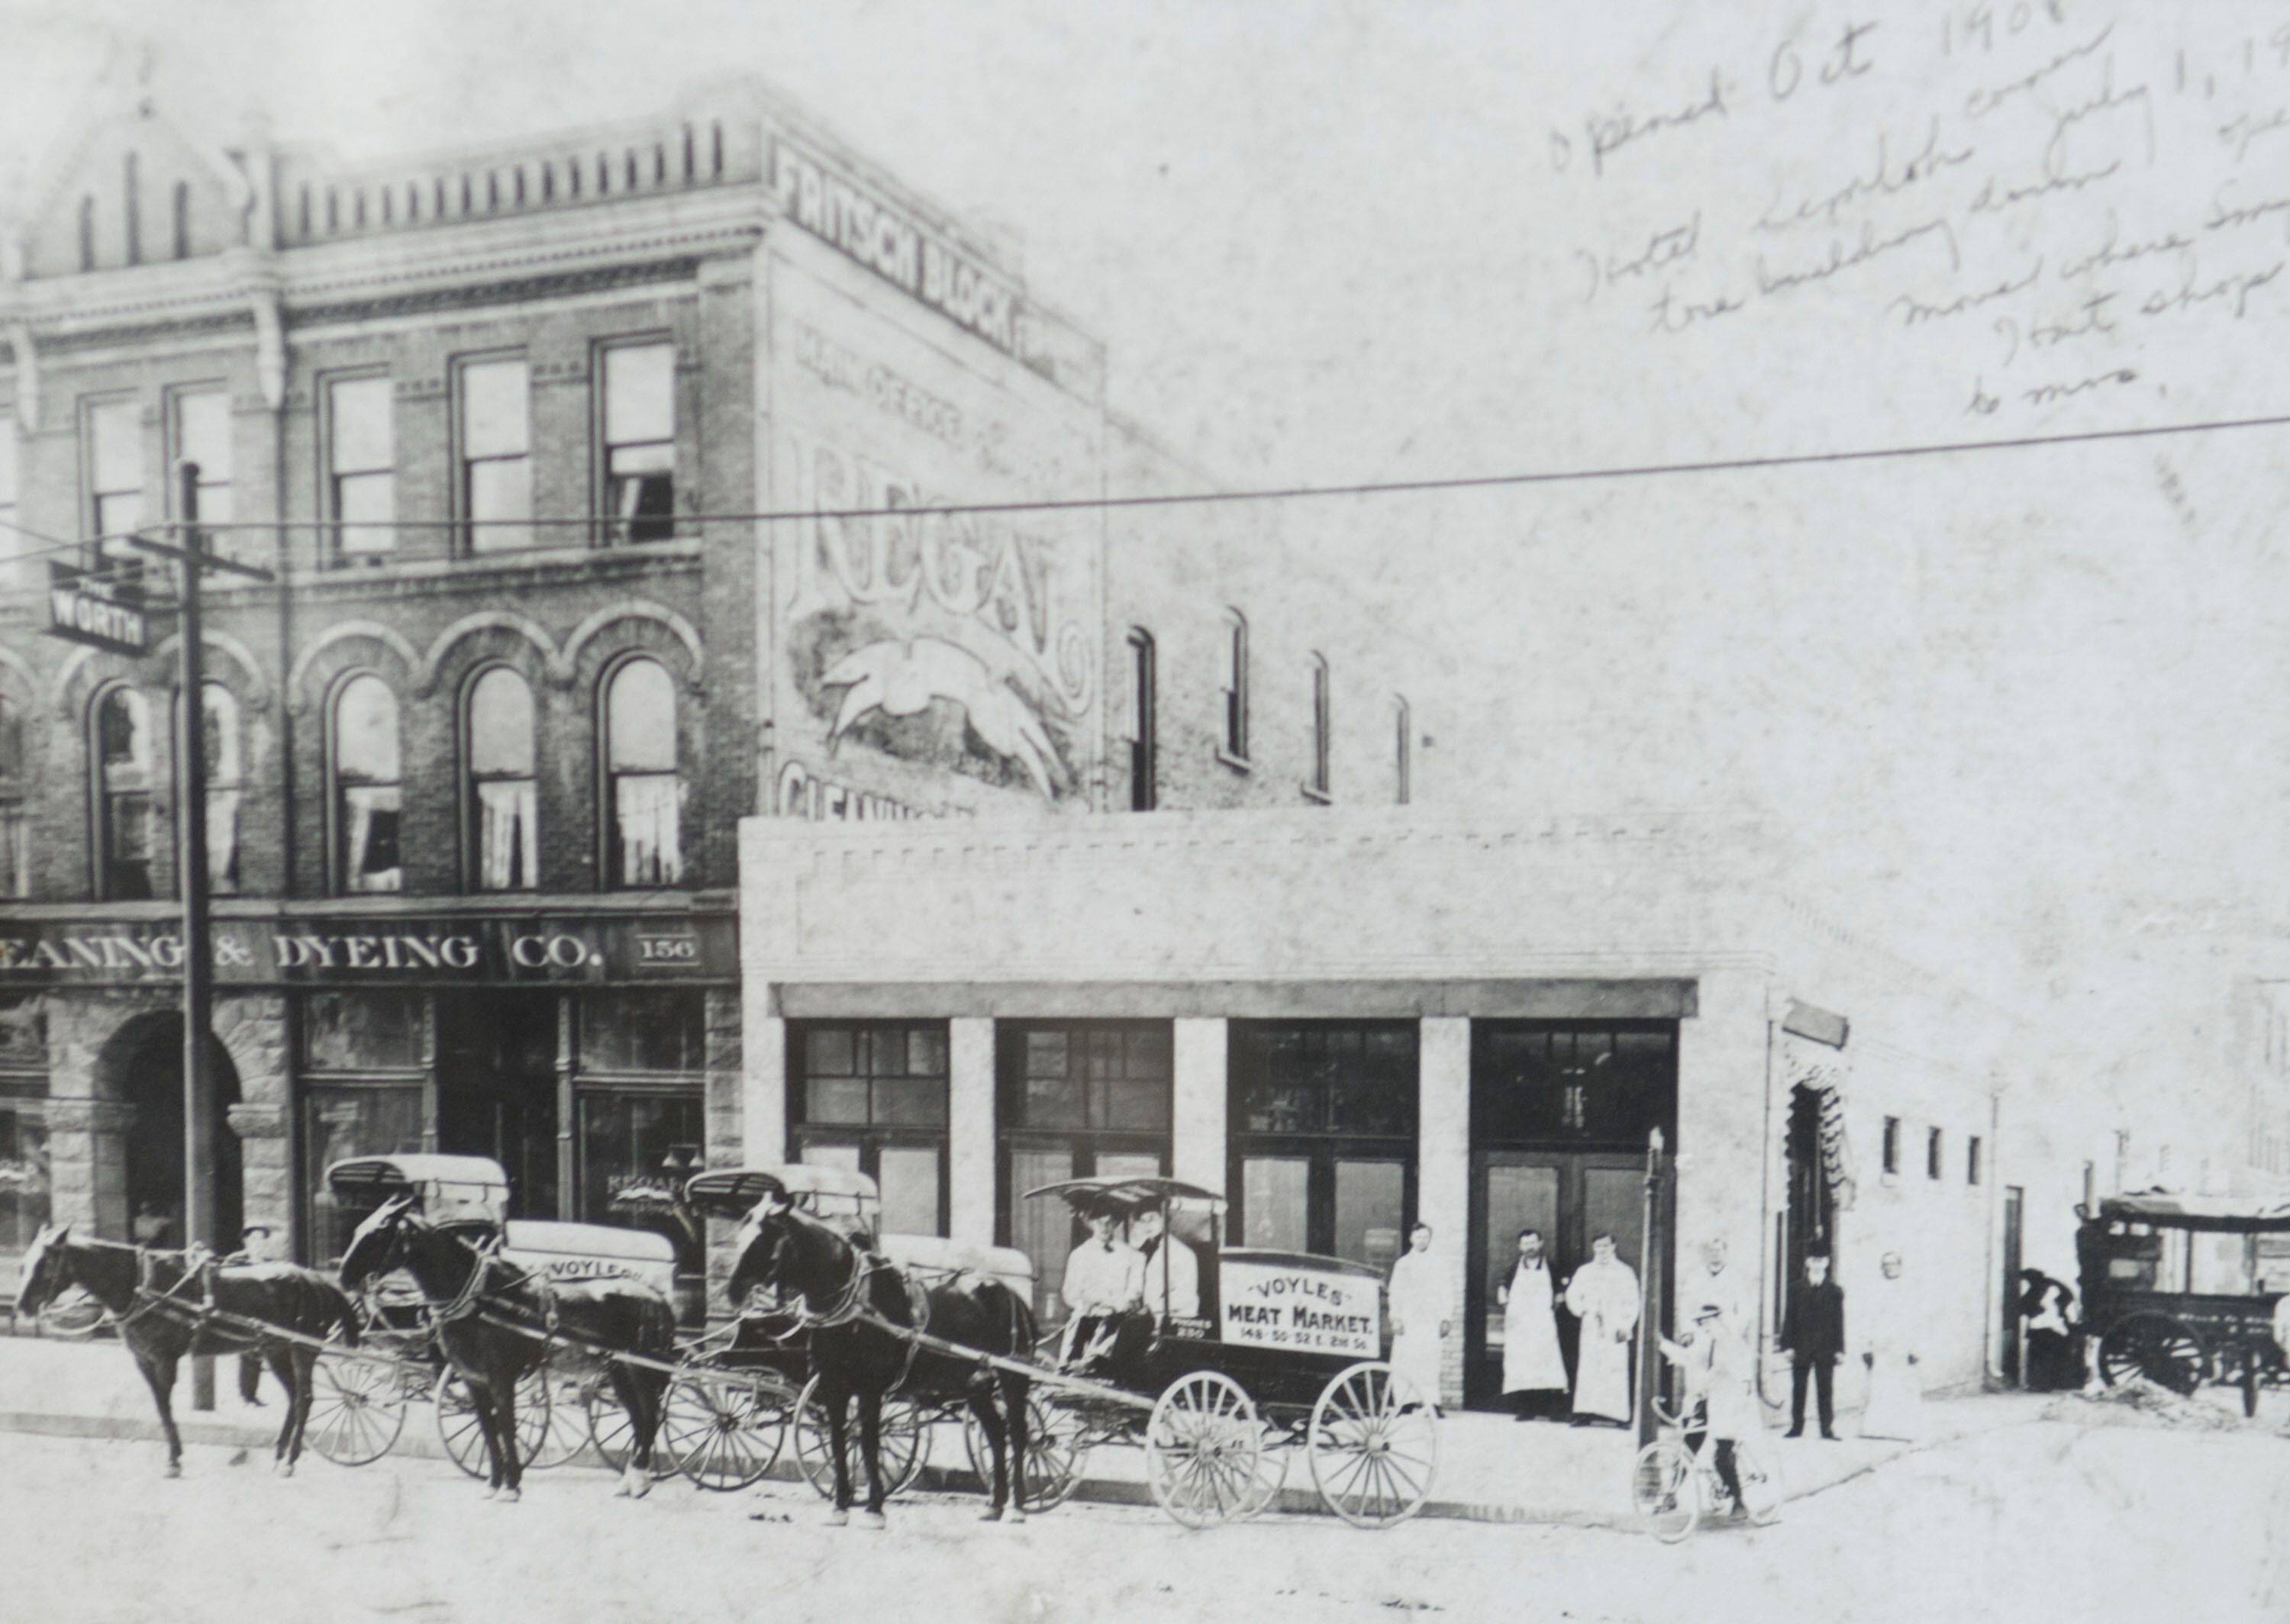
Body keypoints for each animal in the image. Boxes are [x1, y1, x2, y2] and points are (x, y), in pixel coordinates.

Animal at [12, 1218, 362, 1474]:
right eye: (24, 1263)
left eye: (45, 1263)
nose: (21, 1307)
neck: (140, 1285)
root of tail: (317, 1279)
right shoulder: (143, 1359)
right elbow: (159, 1406)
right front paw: (175, 1455)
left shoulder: (165, 1358)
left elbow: (166, 1406)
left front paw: (173, 1460)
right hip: (275, 1350)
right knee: (293, 1397)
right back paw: (280, 1454)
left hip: (302, 1350)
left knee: (304, 1398)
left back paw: (290, 1459)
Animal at [334, 1181, 669, 1502]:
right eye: (360, 1227)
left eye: (380, 1232)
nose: (342, 1277)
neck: (480, 1299)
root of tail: (655, 1295)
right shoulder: (474, 1380)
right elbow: (488, 1429)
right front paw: (494, 1483)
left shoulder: (501, 1378)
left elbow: (507, 1427)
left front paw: (511, 1486)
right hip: (618, 1370)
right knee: (639, 1418)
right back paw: (630, 1480)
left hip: (640, 1369)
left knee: (651, 1415)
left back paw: (640, 1477)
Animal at [724, 1191, 1040, 1520]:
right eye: (740, 1234)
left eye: (764, 1239)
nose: (733, 1291)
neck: (855, 1307)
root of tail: (1010, 1293)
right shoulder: (832, 1386)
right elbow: (838, 1440)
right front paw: (840, 1505)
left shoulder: (870, 1389)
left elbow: (868, 1441)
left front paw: (874, 1506)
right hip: (973, 1385)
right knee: (996, 1434)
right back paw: (995, 1504)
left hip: (1013, 1379)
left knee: (1019, 1433)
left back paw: (1017, 1506)